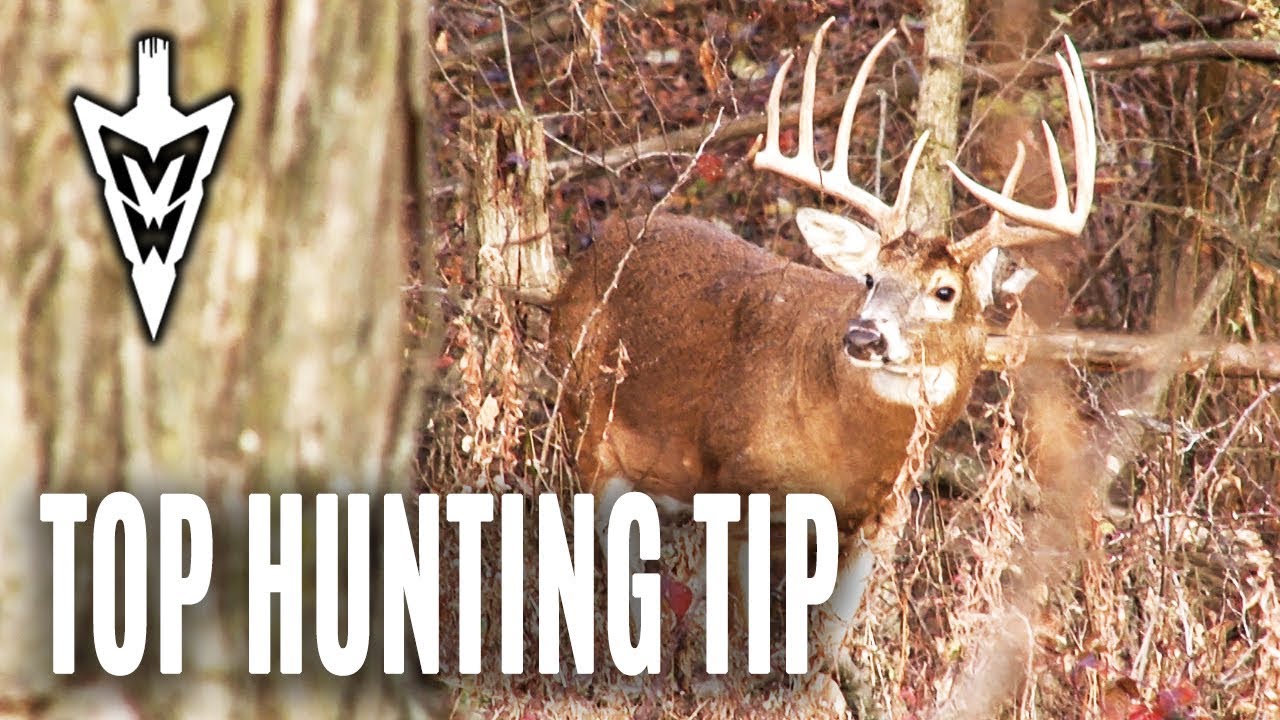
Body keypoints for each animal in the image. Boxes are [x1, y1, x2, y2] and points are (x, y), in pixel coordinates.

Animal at [548, 18, 1096, 668]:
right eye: (870, 278)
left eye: (944, 291)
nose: (863, 334)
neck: (847, 454)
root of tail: (590, 256)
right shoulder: (739, 491)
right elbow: (743, 636)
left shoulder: (879, 523)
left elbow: (823, 652)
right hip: (586, 431)